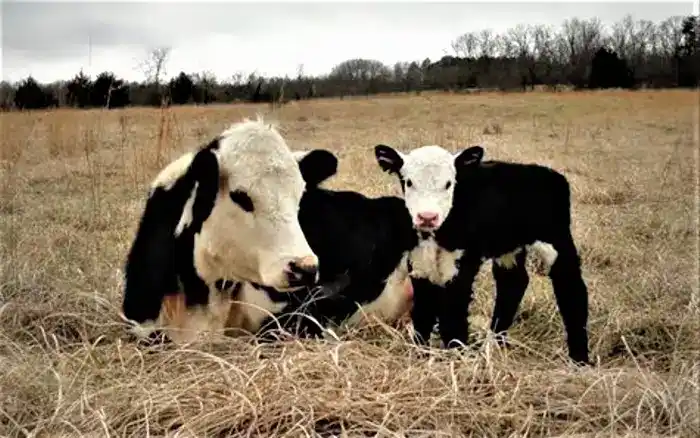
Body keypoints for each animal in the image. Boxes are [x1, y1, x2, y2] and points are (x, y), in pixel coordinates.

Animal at [373, 143, 590, 365]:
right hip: (508, 247)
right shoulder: (419, 263)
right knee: (513, 283)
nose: (427, 217)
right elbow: (423, 313)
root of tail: (549, 174)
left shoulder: (463, 264)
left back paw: (579, 358)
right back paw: (495, 343)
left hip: (556, 239)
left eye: (449, 184)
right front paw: (420, 354)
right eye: (408, 182)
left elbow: (452, 315)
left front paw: (457, 356)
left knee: (571, 287)